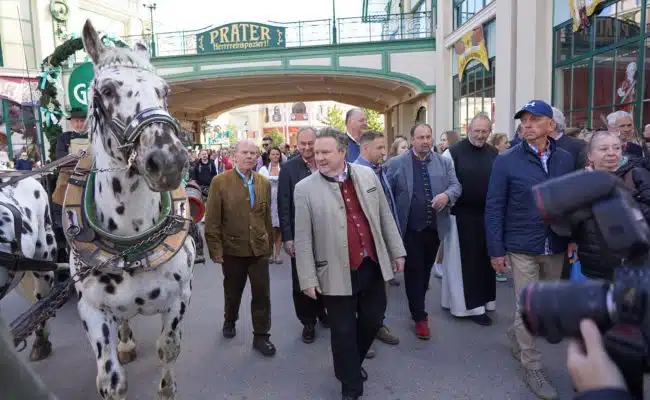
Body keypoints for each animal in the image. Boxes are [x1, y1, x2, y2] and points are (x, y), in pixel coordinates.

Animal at [61, 21, 195, 400]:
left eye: (164, 91)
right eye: (106, 90)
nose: (168, 160)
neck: (131, 242)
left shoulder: (180, 298)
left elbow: (169, 348)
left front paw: (167, 388)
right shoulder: (91, 309)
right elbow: (111, 380)